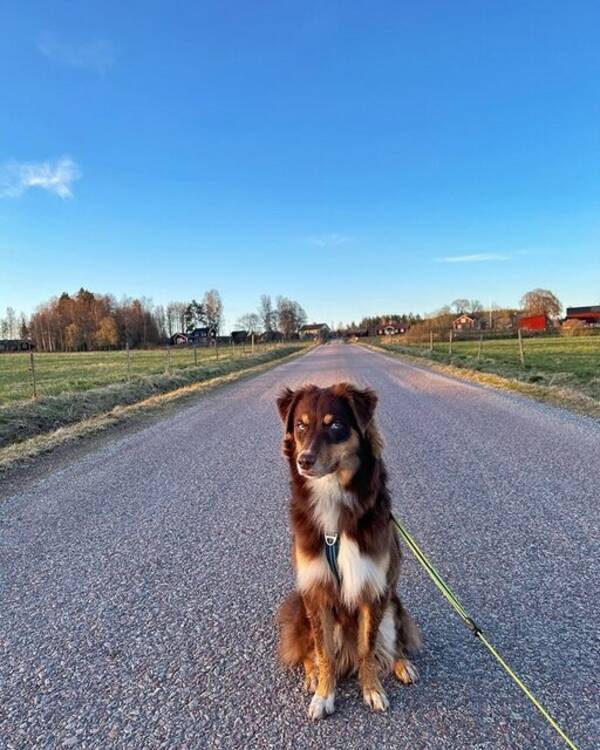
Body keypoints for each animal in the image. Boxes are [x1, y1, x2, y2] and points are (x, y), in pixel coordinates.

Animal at [276, 384, 420, 720]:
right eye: (300, 426)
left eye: (336, 426)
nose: (304, 461)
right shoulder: (316, 590)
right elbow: (324, 650)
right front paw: (324, 694)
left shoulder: (374, 588)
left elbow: (368, 647)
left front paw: (372, 690)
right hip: (301, 608)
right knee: (310, 652)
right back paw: (313, 675)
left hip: (392, 604)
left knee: (391, 644)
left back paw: (402, 664)